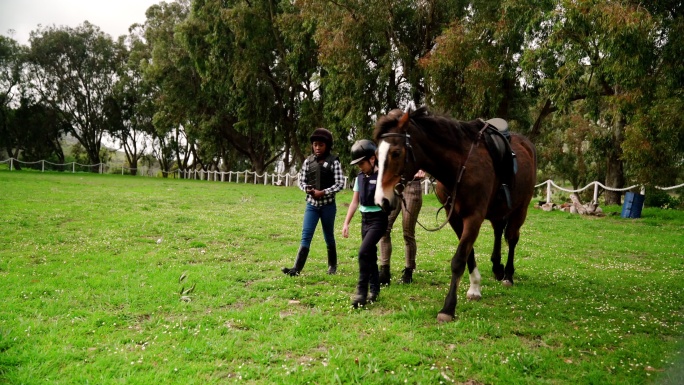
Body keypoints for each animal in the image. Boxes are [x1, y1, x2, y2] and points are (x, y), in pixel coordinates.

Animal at [372, 106, 536, 322]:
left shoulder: (474, 217)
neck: (459, 166)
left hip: (520, 208)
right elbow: (469, 254)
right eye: (376, 154)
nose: (381, 200)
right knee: (498, 231)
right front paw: (475, 287)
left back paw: (508, 275)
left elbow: (459, 260)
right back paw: (497, 268)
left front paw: (448, 308)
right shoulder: (455, 218)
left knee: (512, 237)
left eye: (396, 152)